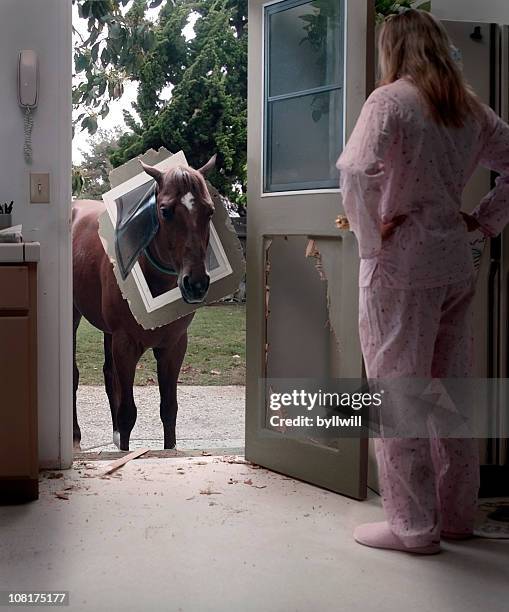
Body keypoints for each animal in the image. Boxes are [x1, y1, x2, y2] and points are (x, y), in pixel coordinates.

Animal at [72, 155, 215, 452]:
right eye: (165, 211)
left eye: (209, 211)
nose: (196, 284)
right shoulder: (125, 346)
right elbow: (128, 413)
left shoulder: (174, 347)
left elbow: (169, 409)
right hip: (73, 316)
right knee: (75, 375)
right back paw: (75, 437)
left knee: (108, 375)